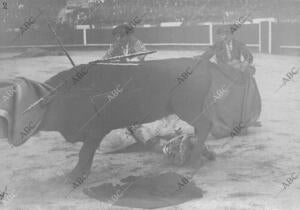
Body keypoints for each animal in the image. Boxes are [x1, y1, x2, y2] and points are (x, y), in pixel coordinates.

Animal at [38, 58, 214, 180]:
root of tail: (201, 62)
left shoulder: (97, 129)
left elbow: (85, 152)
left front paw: (73, 176)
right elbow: (88, 152)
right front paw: (82, 172)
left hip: (187, 108)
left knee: (205, 125)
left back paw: (194, 159)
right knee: (201, 127)